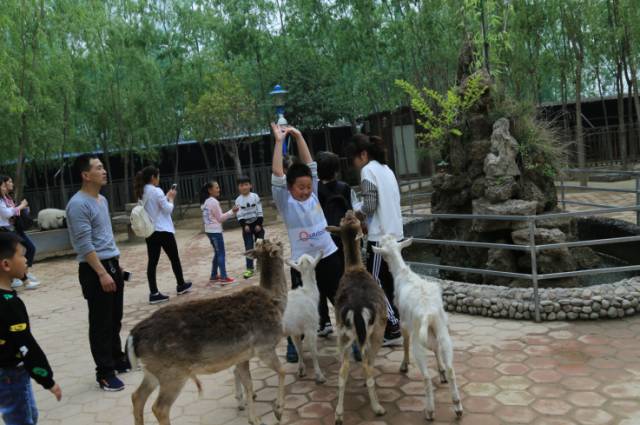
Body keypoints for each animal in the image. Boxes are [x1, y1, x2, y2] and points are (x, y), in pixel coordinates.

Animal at [127, 238, 288, 424]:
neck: (274, 299)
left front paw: (253, 418)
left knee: (137, 396)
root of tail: (133, 336)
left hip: (152, 370)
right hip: (172, 372)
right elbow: (282, 371)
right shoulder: (265, 346)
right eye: (278, 243)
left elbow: (249, 384)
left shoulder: (242, 356)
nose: (282, 241)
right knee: (159, 407)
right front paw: (278, 411)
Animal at [284, 250, 324, 382]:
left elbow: (299, 349)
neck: (308, 293)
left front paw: (301, 370)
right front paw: (319, 376)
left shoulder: (295, 332)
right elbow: (313, 352)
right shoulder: (310, 327)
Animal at [328, 210, 388, 422]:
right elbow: (369, 361)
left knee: (343, 369)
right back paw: (378, 407)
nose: (349, 211)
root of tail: (355, 309)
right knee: (367, 364)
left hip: (342, 332)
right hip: (375, 331)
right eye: (353, 219)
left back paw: (338, 414)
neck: (354, 267)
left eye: (347, 220)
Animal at [372, 235, 462, 420]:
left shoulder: (404, 321)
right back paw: (457, 406)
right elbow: (435, 349)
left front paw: (404, 365)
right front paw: (441, 371)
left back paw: (429, 411)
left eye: (382, 245)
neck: (402, 274)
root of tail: (429, 314)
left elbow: (404, 341)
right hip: (443, 331)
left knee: (426, 376)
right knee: (451, 368)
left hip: (418, 341)